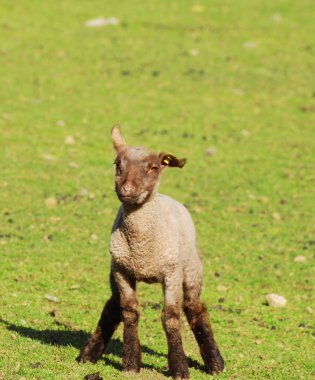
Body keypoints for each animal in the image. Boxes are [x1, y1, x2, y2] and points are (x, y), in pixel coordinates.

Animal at [77, 126, 225, 378]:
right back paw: (89, 354)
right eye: (117, 164)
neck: (141, 247)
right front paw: (130, 364)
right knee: (113, 304)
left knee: (195, 307)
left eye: (153, 167)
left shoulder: (171, 273)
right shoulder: (122, 270)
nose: (127, 189)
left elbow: (171, 317)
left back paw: (215, 363)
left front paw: (179, 368)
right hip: (114, 271)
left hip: (191, 269)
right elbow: (129, 311)